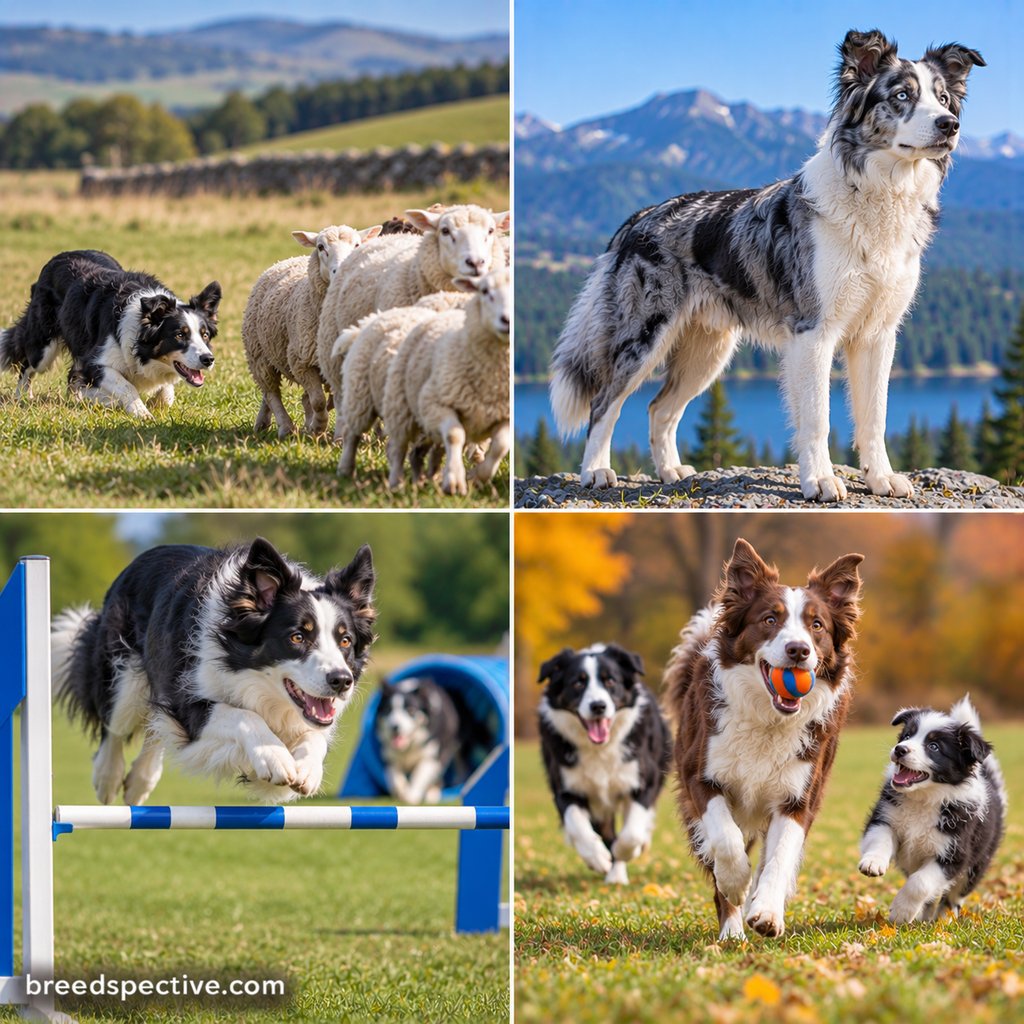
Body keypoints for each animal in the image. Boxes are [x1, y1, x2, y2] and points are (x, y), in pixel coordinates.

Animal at [242, 222, 381, 438]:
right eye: (321, 247)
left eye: (358, 245)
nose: (340, 270)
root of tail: (286, 260)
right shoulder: (301, 361)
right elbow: (318, 401)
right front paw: (318, 427)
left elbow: (333, 401)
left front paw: (339, 435)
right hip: (258, 355)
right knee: (272, 392)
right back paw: (286, 428)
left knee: (275, 394)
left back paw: (266, 423)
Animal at [316, 204, 510, 442]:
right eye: (445, 231)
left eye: (491, 231)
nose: (475, 263)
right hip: (336, 352)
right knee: (344, 396)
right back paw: (343, 437)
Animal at [382, 266, 510, 495]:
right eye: (485, 290)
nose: (507, 320)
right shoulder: (436, 404)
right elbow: (454, 435)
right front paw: (454, 481)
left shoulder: (503, 416)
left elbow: (501, 445)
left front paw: (477, 477)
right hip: (402, 408)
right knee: (398, 448)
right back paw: (397, 483)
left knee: (420, 451)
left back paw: (423, 478)